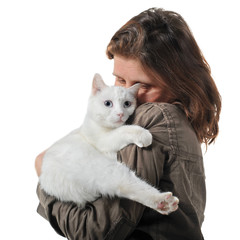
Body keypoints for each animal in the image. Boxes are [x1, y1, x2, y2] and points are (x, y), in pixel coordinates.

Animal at [39, 73, 178, 216]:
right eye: (107, 103)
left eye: (127, 104)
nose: (120, 113)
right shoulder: (103, 139)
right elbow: (123, 130)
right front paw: (143, 134)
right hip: (105, 168)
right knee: (127, 185)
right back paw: (163, 202)